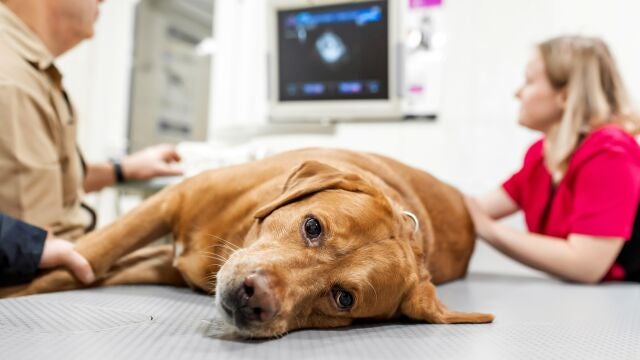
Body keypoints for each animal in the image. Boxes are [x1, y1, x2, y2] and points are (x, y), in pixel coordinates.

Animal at [0, 147, 492, 338]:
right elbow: (87, 256)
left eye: (344, 298)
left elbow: (83, 271)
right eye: (312, 227)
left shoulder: (162, 264)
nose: (254, 297)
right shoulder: (169, 201)